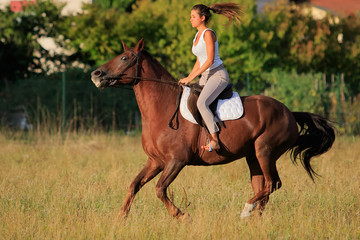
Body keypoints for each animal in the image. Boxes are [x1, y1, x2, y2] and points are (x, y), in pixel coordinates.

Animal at [90, 39, 334, 221]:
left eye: (124, 58)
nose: (96, 74)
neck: (163, 107)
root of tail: (289, 112)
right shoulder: (156, 161)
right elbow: (134, 185)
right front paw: (120, 218)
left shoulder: (176, 161)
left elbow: (159, 189)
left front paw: (182, 216)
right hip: (253, 156)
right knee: (262, 187)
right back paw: (253, 218)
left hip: (265, 151)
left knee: (272, 184)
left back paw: (246, 210)